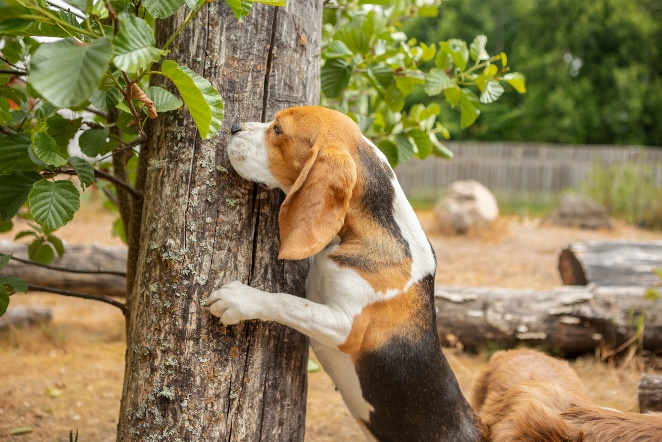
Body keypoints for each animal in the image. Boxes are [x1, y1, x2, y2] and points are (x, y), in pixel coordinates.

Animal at [209, 105, 488, 440]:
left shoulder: (346, 328)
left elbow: (289, 302)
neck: (364, 232)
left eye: (278, 130)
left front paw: (239, 299)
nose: (234, 127)